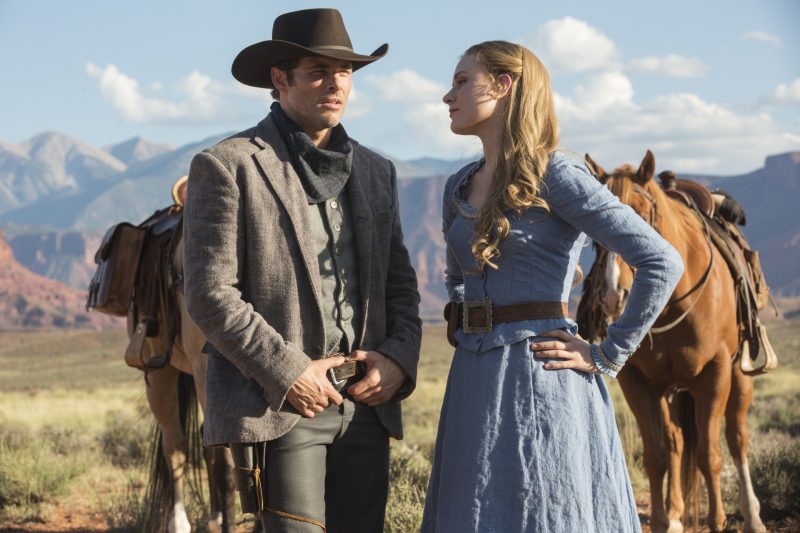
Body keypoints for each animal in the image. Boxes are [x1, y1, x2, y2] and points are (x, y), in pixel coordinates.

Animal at [580, 151, 768, 532]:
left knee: (736, 438)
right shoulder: (636, 381)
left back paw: (753, 516)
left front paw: (716, 520)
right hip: (670, 389)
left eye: (641, 216)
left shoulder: (714, 373)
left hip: (737, 375)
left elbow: (710, 455)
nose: (612, 296)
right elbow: (657, 456)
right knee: (677, 442)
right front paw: (664, 520)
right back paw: (678, 514)